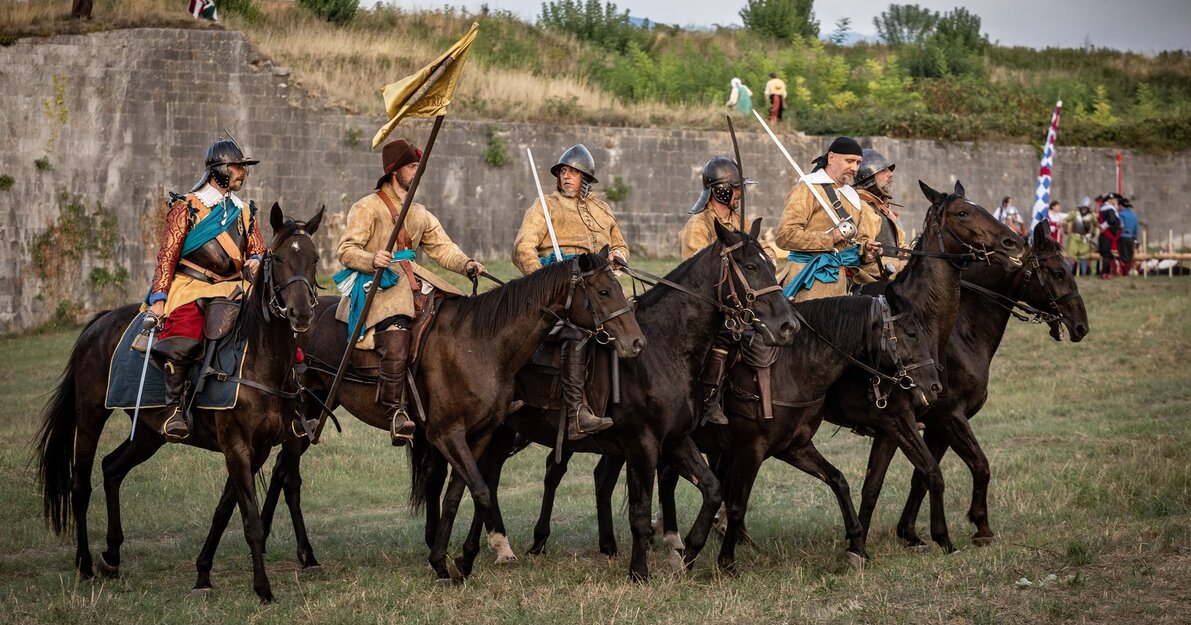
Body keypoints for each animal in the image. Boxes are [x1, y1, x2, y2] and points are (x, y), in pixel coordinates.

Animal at [37, 203, 326, 600]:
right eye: (278, 258)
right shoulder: (238, 447)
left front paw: (203, 572)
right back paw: (84, 564)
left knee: (112, 469)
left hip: (149, 431)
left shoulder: (264, 447)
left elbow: (226, 508)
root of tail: (99, 323)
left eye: (314, 258)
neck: (259, 357)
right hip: (91, 415)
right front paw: (262, 587)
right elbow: (250, 518)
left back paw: (112, 555)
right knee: (80, 486)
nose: (302, 313)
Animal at [464, 219, 800, 580]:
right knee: (488, 476)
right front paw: (640, 571)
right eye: (750, 266)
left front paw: (688, 552)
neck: (662, 348)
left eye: (771, 265)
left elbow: (712, 488)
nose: (788, 326)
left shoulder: (676, 439)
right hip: (498, 430)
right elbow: (639, 513)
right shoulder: (642, 445)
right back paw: (500, 545)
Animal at [857, 217, 1090, 545]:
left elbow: (921, 478)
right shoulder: (951, 417)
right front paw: (981, 526)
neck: (958, 328)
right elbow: (980, 465)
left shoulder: (936, 426)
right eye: (1057, 272)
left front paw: (909, 532)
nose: (1081, 326)